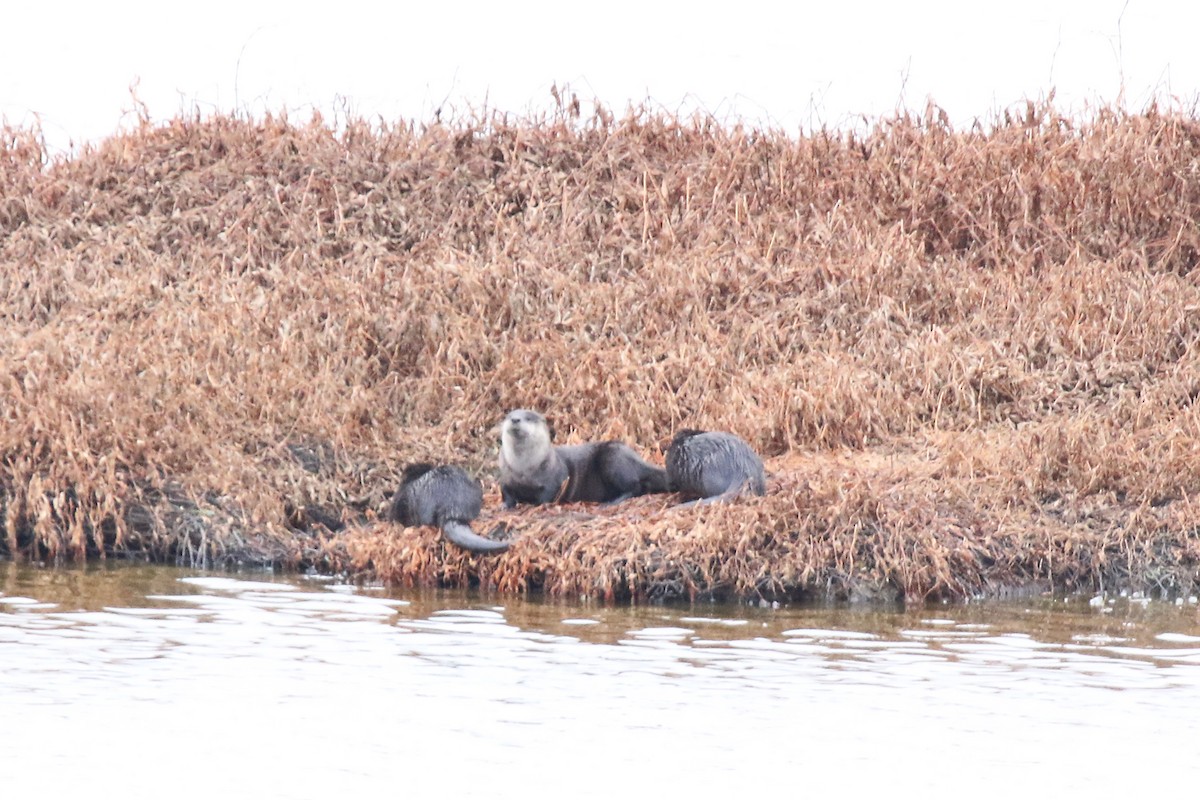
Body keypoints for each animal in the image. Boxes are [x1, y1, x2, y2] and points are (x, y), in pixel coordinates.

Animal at [498, 409, 669, 507]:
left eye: (528, 418)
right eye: (509, 416)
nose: (515, 419)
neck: (524, 470)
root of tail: (637, 459)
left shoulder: (555, 480)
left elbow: (547, 496)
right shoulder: (506, 478)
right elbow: (505, 492)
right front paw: (506, 505)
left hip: (614, 457)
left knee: (635, 487)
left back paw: (611, 502)